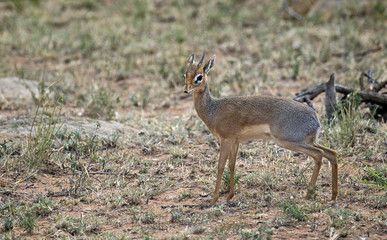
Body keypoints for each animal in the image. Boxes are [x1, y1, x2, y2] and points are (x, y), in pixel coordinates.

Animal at [183, 53, 338, 205]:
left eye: (199, 76)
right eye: (185, 74)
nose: (186, 90)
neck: (213, 110)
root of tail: (315, 118)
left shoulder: (226, 140)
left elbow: (220, 166)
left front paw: (213, 200)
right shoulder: (235, 141)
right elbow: (232, 165)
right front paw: (230, 196)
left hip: (289, 141)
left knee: (319, 154)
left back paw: (309, 194)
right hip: (308, 141)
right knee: (331, 153)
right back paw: (333, 195)